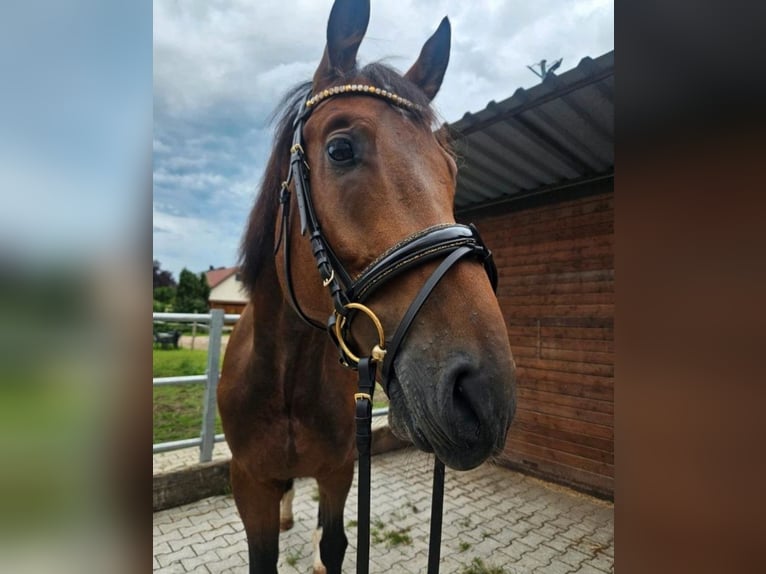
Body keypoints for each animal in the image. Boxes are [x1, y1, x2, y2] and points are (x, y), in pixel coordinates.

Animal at [217, 1, 517, 572]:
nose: (484, 394)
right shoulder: (249, 483)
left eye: (450, 170)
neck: (287, 379)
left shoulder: (340, 471)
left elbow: (335, 543)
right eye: (340, 149)